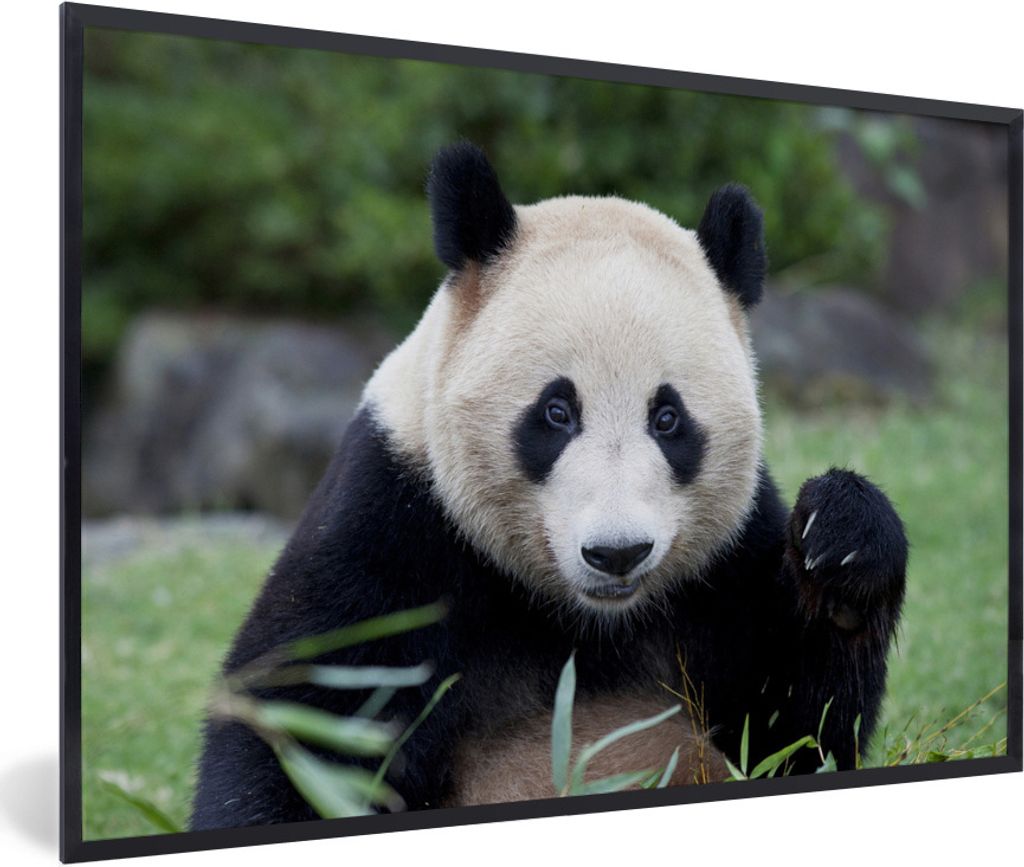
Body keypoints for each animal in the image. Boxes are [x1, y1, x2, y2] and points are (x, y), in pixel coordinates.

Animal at [190, 141, 908, 828]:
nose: (617, 553)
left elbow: (796, 729)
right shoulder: (393, 525)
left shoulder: (726, 566)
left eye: (668, 418)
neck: (584, 620)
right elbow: (307, 716)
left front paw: (841, 546)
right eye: (557, 412)